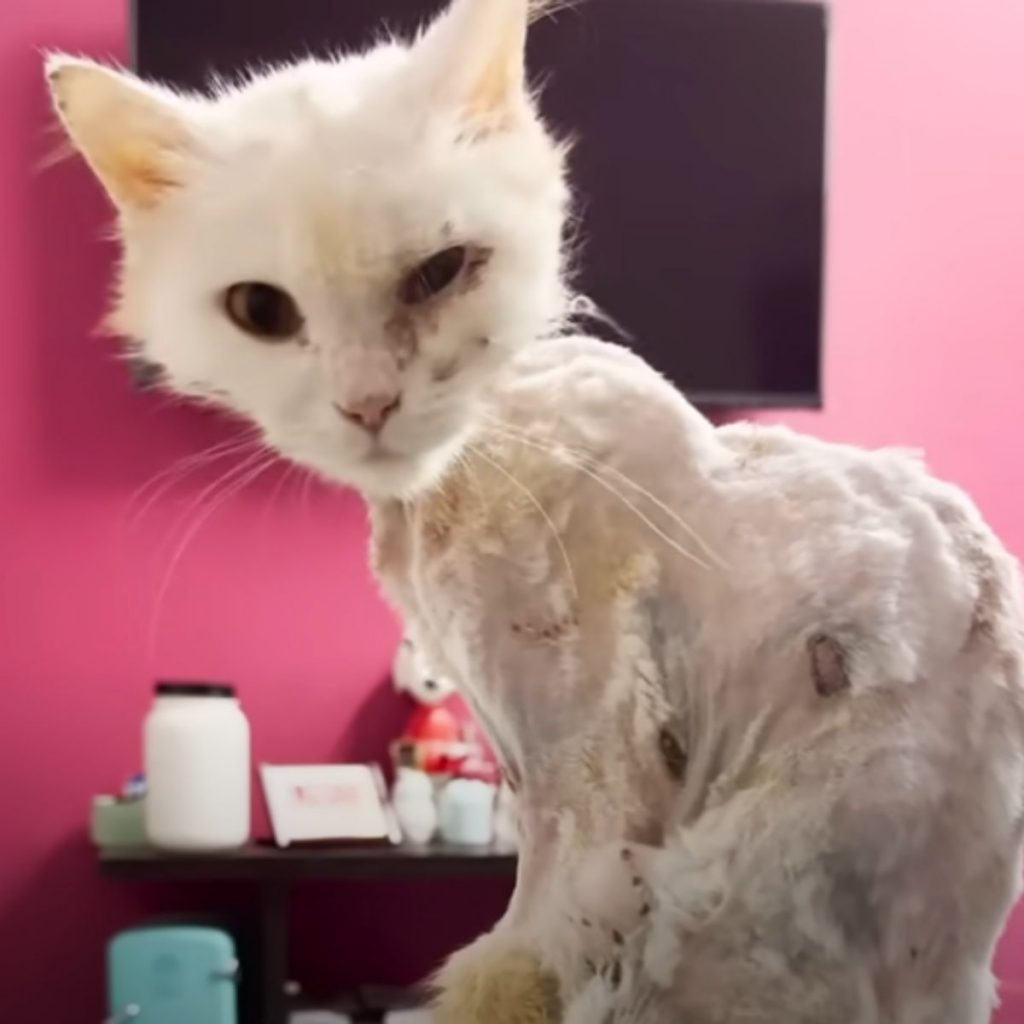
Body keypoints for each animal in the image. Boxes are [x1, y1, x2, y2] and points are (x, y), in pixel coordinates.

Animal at [48, 2, 1024, 1024]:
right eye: (259, 311)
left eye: (441, 273)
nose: (368, 404)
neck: (445, 489)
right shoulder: (523, 751)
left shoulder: (589, 761)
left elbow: (532, 945)